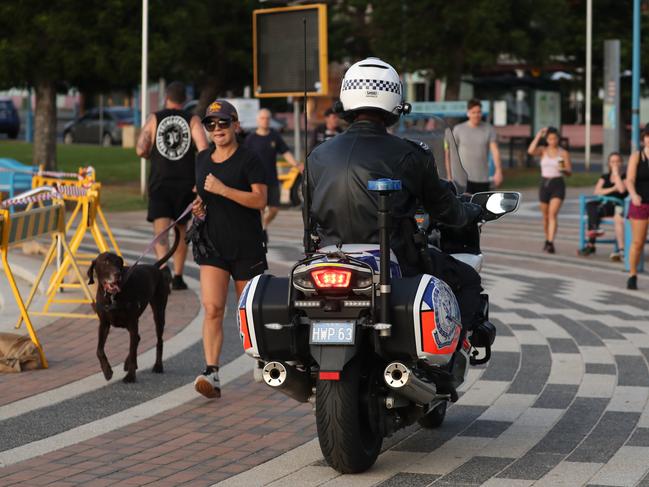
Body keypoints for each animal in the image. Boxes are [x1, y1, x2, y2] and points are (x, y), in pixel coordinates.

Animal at [86, 227, 180, 384]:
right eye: (105, 262)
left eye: (118, 262)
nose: (117, 274)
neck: (113, 296)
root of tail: (155, 267)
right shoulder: (104, 323)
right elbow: (99, 350)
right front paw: (107, 371)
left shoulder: (132, 322)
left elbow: (132, 349)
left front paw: (130, 376)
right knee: (138, 339)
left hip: (159, 312)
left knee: (157, 340)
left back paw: (157, 366)